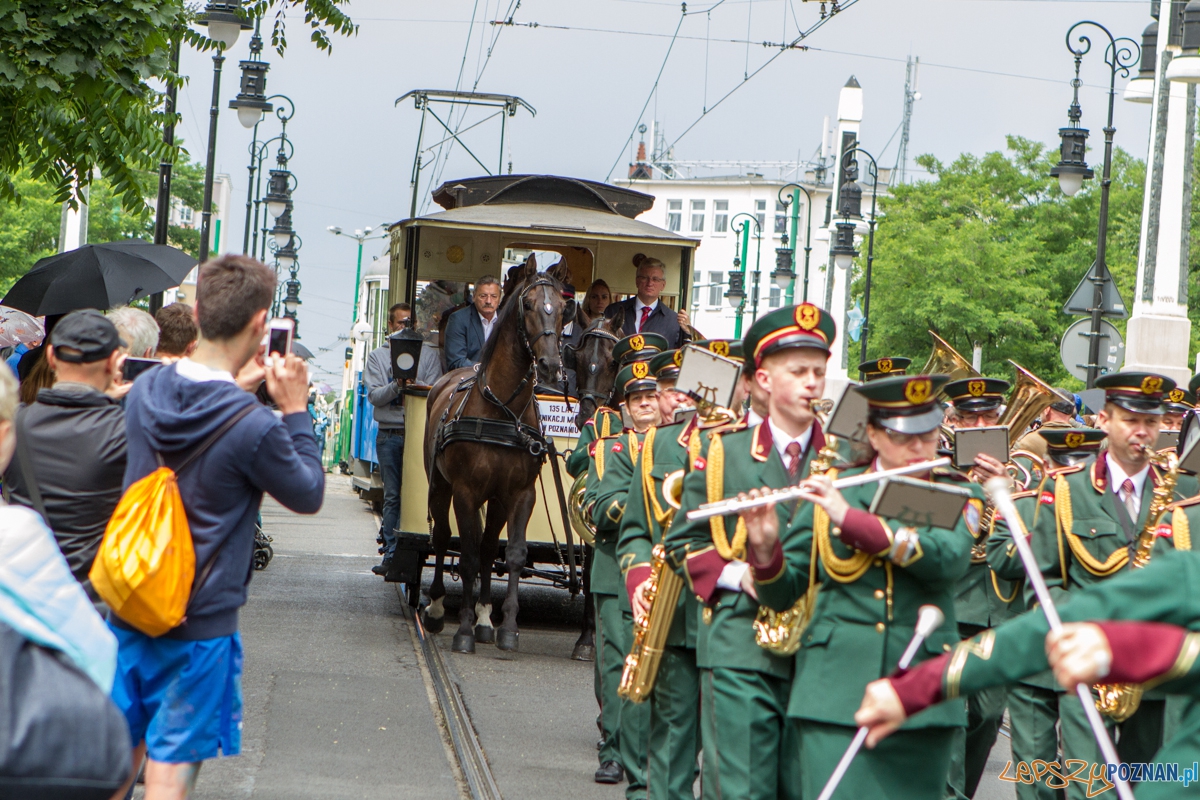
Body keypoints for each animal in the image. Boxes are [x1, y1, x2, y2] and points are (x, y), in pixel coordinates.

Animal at [422, 253, 571, 652]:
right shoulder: (465, 492)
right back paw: (438, 608)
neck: (503, 409)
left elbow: (513, 554)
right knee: (442, 537)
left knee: (490, 547)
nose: (551, 365)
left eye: (562, 308)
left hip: (497, 499)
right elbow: (468, 556)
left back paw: (486, 618)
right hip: (440, 487)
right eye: (529, 305)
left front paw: (507, 628)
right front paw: (462, 632)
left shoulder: (520, 493)